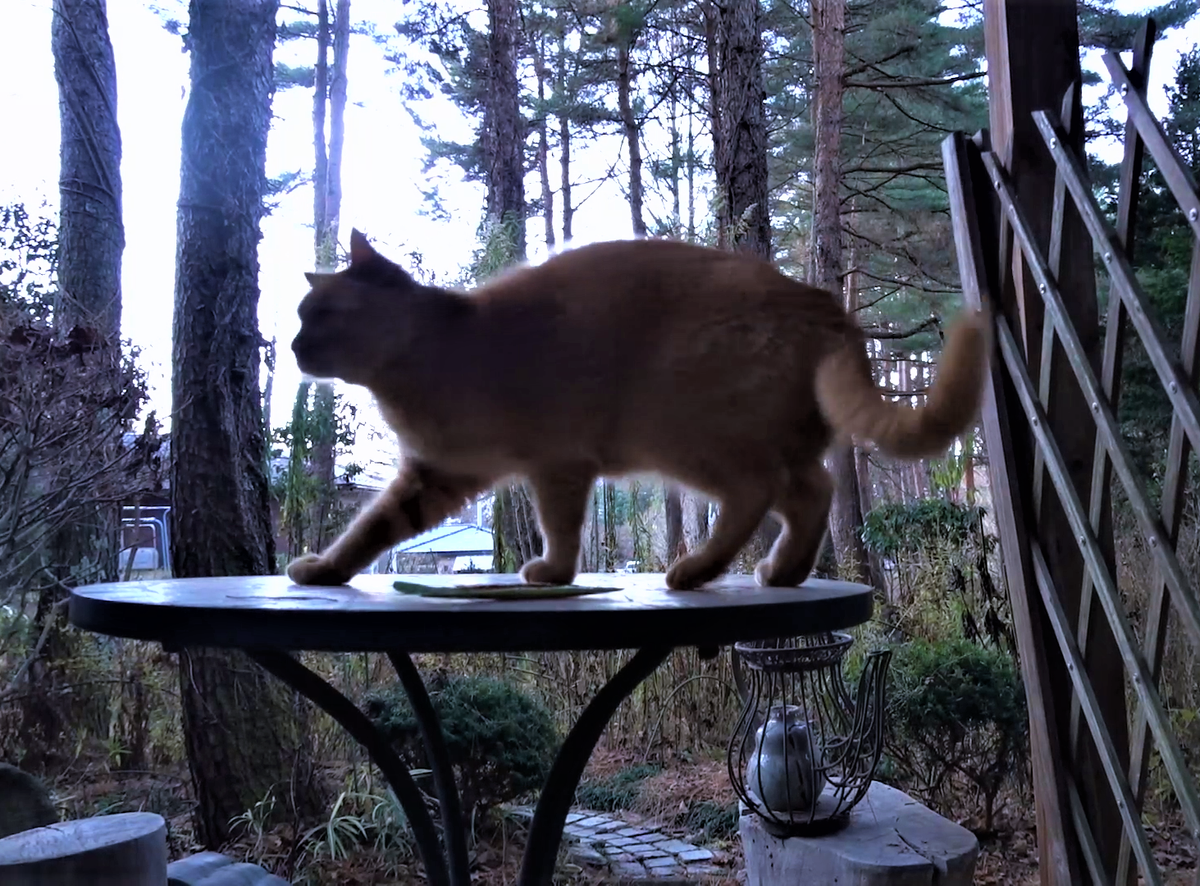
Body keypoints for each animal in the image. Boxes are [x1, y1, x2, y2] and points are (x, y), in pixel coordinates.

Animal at [285, 229, 988, 585]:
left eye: (322, 315)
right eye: (300, 316)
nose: (291, 346)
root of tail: (821, 300)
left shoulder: (557, 464)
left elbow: (561, 528)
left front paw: (552, 572)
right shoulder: (435, 476)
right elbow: (371, 528)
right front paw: (325, 568)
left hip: (682, 430)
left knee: (765, 492)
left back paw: (698, 569)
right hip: (750, 443)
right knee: (811, 491)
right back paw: (778, 571)